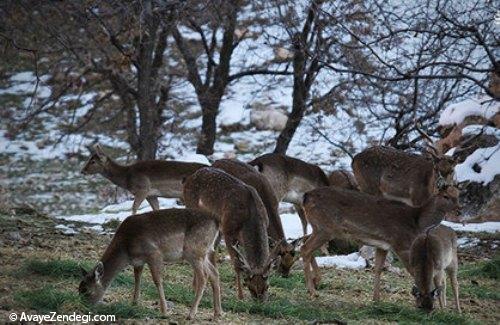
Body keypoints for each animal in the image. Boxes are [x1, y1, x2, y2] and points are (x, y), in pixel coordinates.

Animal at [77, 208, 221, 318]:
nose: (82, 306)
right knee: (214, 273)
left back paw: (191, 314)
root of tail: (216, 222)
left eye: (87, 291)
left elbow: (157, 280)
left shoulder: (154, 253)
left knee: (203, 277)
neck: (126, 248)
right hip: (205, 252)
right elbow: (137, 278)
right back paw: (217, 313)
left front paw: (164, 311)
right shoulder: (138, 261)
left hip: (194, 251)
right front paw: (134, 303)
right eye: (79, 289)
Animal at [183, 166, 280, 300]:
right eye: (248, 285)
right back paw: (195, 286)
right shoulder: (228, 231)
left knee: (211, 251)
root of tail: (188, 179)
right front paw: (240, 296)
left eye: (267, 286)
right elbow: (237, 264)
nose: (260, 300)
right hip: (193, 209)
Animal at [298, 185, 458, 302]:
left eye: (458, 195)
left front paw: (376, 299)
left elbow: (378, 269)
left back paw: (316, 281)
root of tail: (306, 196)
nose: (458, 208)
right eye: (445, 196)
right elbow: (413, 271)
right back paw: (312, 291)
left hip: (319, 227)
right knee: (305, 248)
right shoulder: (401, 243)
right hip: (325, 228)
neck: (417, 221)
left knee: (305, 242)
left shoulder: (383, 246)